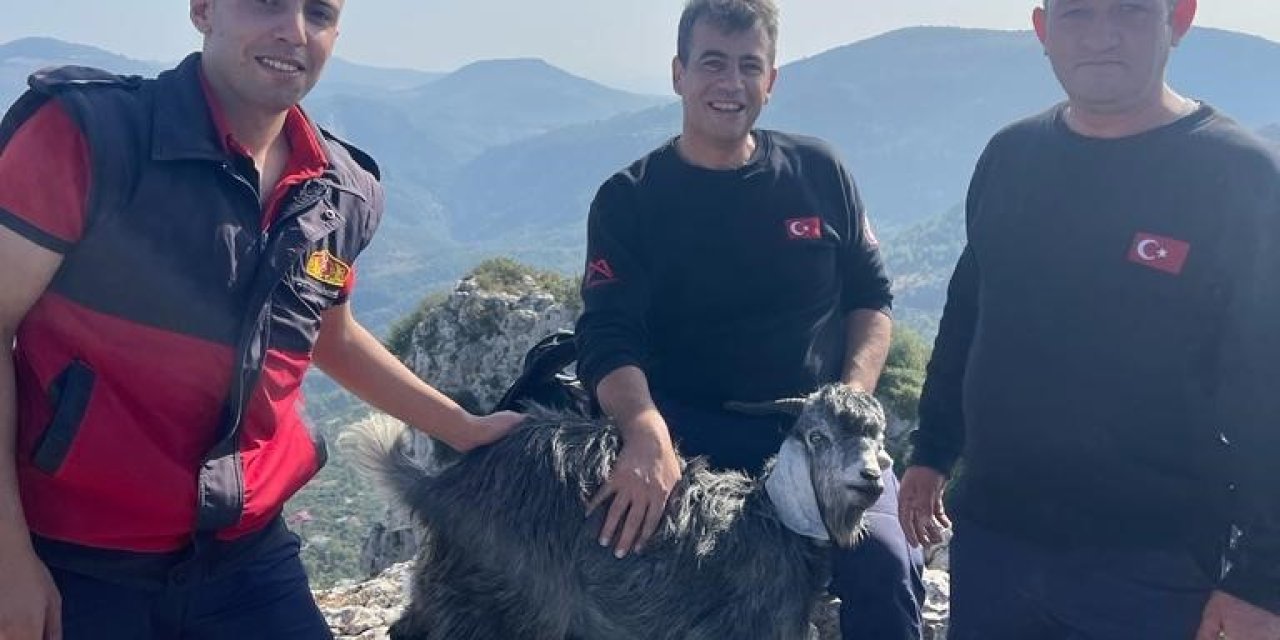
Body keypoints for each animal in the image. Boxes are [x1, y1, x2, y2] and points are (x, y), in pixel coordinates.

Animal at [343, 383, 888, 640]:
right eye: (817, 437)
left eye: (876, 436)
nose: (871, 478)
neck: (769, 520)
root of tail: (442, 486)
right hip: (501, 601)